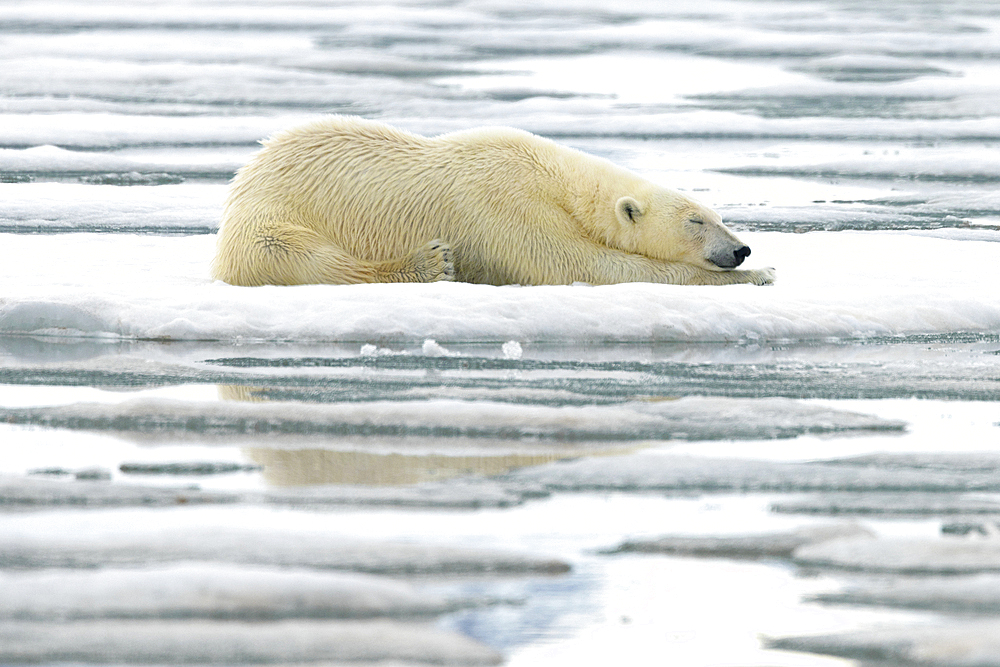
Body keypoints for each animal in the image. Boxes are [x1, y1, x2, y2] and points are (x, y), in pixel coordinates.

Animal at [209, 115, 772, 288]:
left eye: (720, 216)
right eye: (696, 221)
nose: (740, 249)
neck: (556, 181)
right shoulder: (505, 204)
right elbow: (578, 264)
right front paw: (759, 275)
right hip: (273, 216)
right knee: (304, 257)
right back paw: (427, 264)